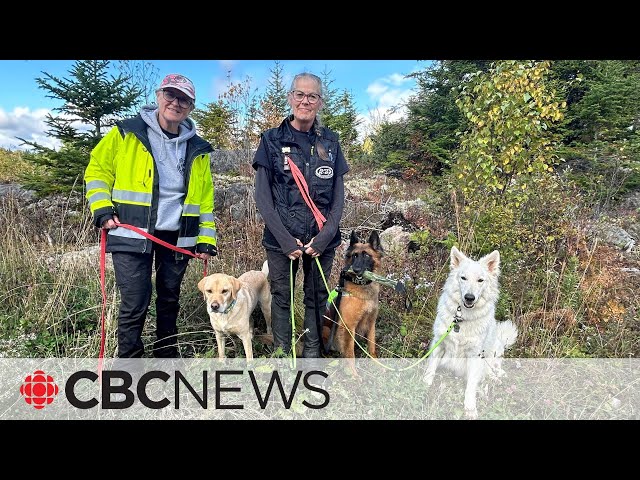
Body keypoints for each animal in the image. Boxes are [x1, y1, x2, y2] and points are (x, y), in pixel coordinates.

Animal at [322, 231, 382, 376]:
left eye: (366, 255)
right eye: (354, 256)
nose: (356, 269)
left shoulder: (371, 323)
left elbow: (372, 346)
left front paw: (378, 365)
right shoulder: (348, 327)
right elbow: (350, 355)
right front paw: (354, 375)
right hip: (327, 329)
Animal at [422, 246, 516, 418]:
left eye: (480, 280)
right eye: (463, 278)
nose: (469, 297)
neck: (461, 318)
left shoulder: (475, 355)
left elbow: (471, 386)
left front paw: (470, 408)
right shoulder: (439, 343)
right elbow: (430, 369)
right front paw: (424, 385)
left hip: (494, 351)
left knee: (493, 370)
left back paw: (496, 378)